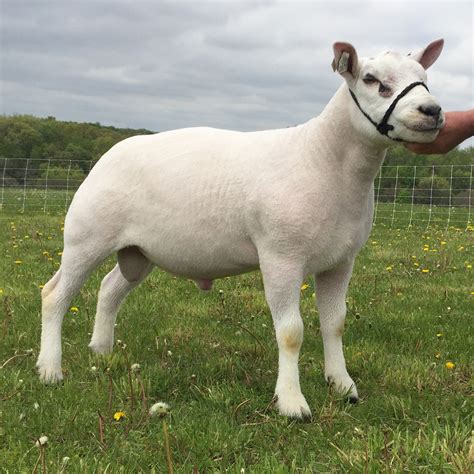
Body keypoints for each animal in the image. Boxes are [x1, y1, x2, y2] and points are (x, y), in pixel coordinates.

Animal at [37, 39, 444, 418]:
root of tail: (111, 153)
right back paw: (50, 370)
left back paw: (101, 352)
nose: (433, 111)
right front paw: (292, 403)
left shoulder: (341, 261)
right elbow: (291, 332)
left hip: (139, 251)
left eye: (424, 78)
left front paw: (343, 386)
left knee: (109, 290)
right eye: (372, 80)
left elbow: (335, 324)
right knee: (55, 295)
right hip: (86, 236)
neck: (324, 159)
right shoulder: (280, 256)